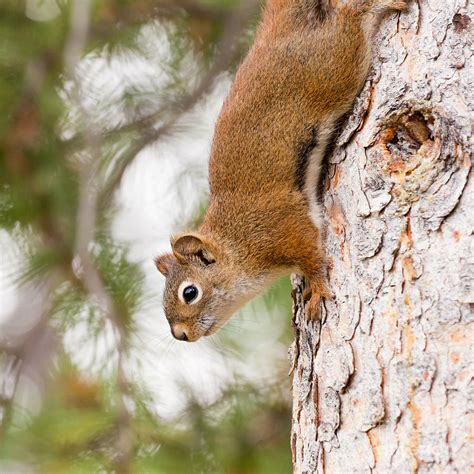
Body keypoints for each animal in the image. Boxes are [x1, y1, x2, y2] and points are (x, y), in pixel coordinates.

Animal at [155, 0, 408, 340]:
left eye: (190, 292)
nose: (180, 334)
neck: (236, 244)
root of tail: (275, 31)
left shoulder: (283, 230)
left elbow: (312, 257)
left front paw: (317, 288)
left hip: (332, 65)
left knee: (347, 25)